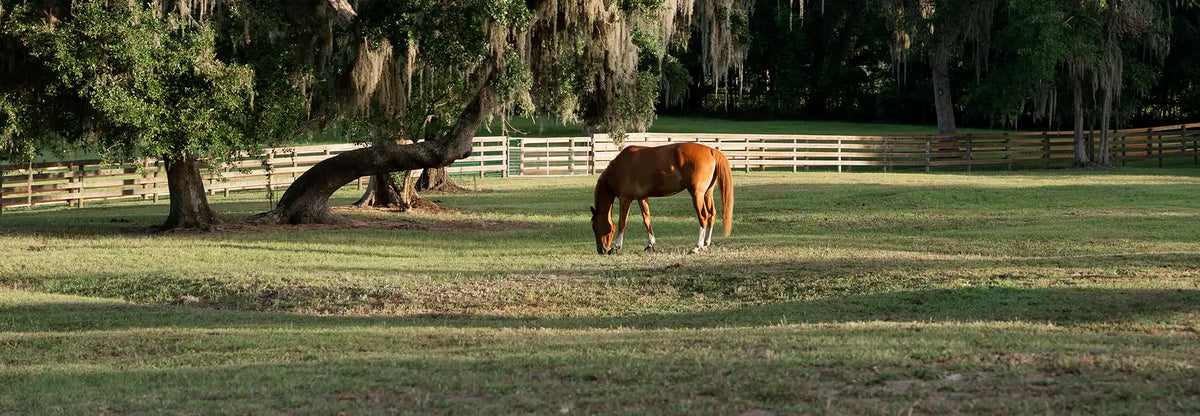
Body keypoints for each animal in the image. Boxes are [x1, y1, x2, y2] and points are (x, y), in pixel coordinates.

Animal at [590, 142, 733, 255]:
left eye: (595, 227)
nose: (601, 250)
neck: (620, 167)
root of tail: (711, 150)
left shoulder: (625, 198)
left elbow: (622, 222)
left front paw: (616, 247)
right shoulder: (642, 198)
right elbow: (647, 220)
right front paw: (650, 244)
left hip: (697, 195)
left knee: (703, 217)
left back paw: (697, 247)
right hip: (707, 194)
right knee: (712, 215)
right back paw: (706, 243)